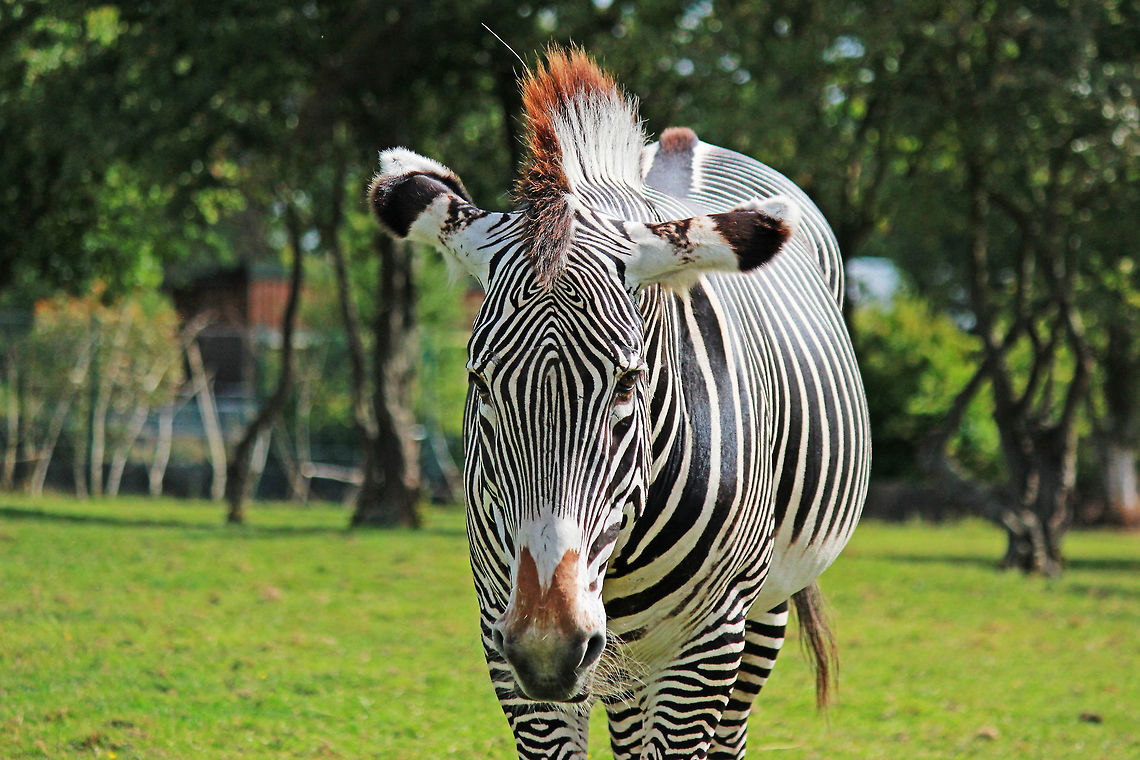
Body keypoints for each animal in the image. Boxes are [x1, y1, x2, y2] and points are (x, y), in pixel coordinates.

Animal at [368, 48, 870, 760]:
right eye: (480, 383)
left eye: (629, 384)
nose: (548, 648)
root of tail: (682, 144)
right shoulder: (505, 640)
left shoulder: (703, 645)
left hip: (765, 604)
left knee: (732, 730)